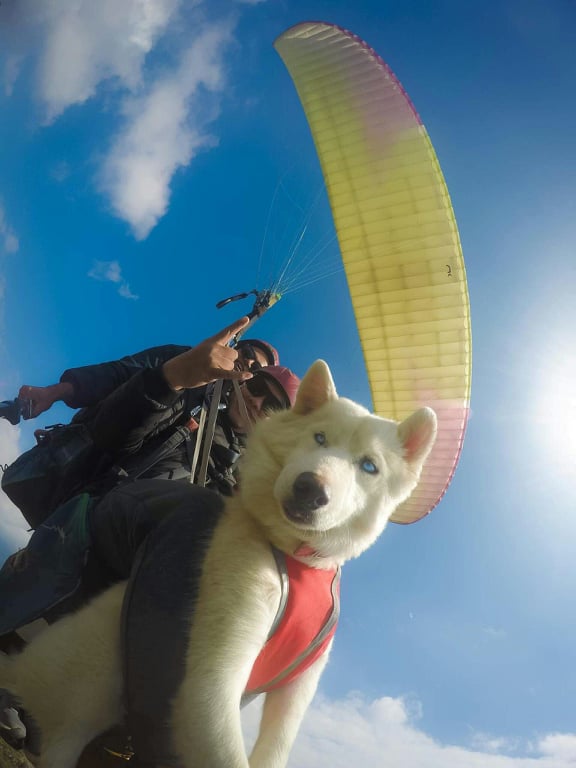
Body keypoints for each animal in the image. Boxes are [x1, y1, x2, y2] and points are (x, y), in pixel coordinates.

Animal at [0, 360, 436, 768]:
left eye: (369, 466)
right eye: (319, 436)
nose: (310, 489)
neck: (293, 555)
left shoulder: (299, 686)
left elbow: (276, 745)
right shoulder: (208, 675)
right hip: (94, 673)